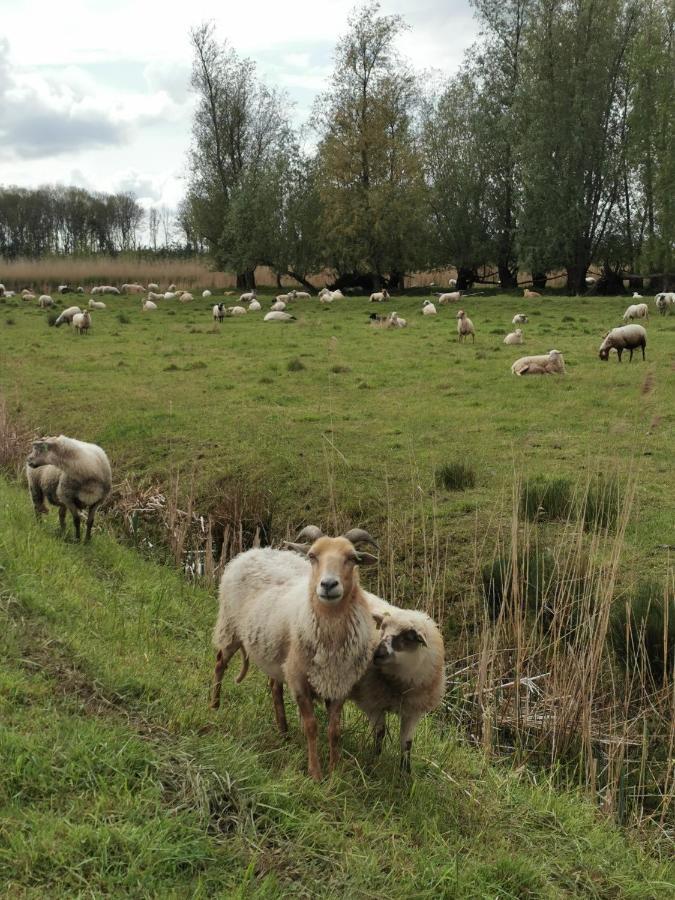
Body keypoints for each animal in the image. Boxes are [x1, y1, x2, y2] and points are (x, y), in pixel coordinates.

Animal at [211, 528, 380, 780]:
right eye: (312, 556)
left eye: (352, 558)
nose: (328, 584)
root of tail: (254, 551)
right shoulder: (300, 681)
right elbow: (311, 727)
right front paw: (315, 773)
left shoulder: (339, 683)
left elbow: (335, 731)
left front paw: (334, 772)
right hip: (231, 628)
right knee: (220, 664)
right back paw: (214, 706)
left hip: (278, 656)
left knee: (274, 687)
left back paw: (283, 731)